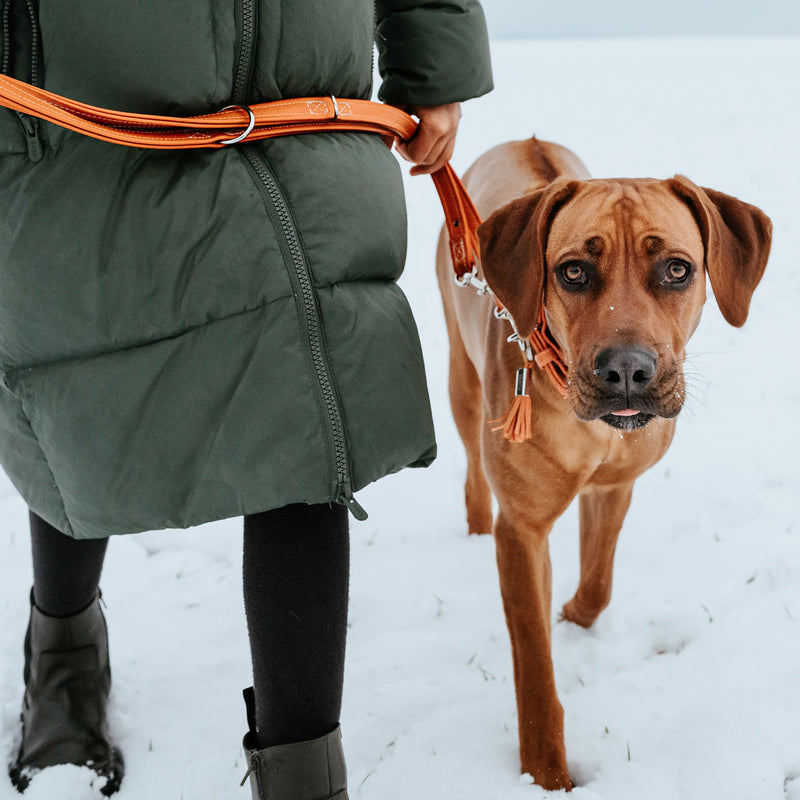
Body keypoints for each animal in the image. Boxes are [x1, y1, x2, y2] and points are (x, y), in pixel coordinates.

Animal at [434, 136, 772, 788]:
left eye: (677, 268)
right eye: (572, 271)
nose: (626, 371)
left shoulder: (615, 486)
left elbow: (598, 584)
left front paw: (572, 616)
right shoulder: (522, 531)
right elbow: (534, 667)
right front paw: (545, 773)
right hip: (462, 376)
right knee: (470, 463)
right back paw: (472, 521)